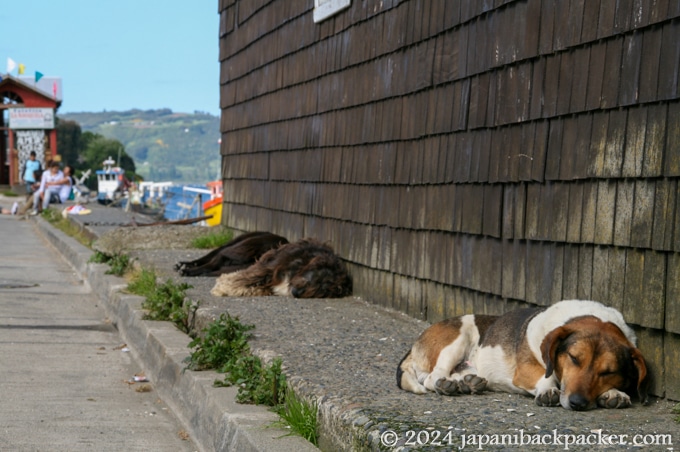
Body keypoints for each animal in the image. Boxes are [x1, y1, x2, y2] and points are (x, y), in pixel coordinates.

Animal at [211, 238, 350, 298]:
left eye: (322, 290)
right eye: (318, 278)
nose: (297, 293)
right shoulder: (271, 268)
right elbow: (244, 278)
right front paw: (223, 287)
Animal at [398, 298, 648, 412]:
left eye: (608, 372)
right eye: (574, 358)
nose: (577, 403)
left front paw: (614, 393)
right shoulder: (527, 369)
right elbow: (546, 376)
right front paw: (548, 390)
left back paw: (468, 382)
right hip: (459, 335)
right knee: (432, 377)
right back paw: (446, 384)